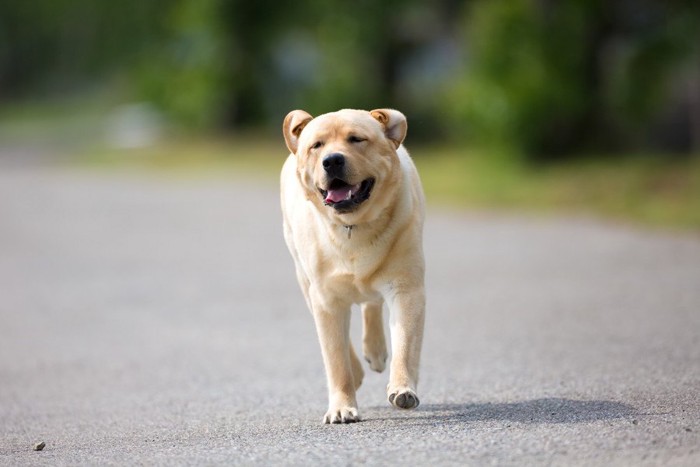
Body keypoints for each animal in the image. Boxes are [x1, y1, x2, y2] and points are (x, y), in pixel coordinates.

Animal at [280, 109, 426, 424]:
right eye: (317, 145)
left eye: (357, 139)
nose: (332, 160)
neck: (353, 227)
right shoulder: (325, 298)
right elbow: (336, 358)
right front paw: (342, 407)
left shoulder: (406, 287)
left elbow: (405, 343)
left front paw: (402, 389)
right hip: (303, 278)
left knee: (372, 303)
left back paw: (377, 351)